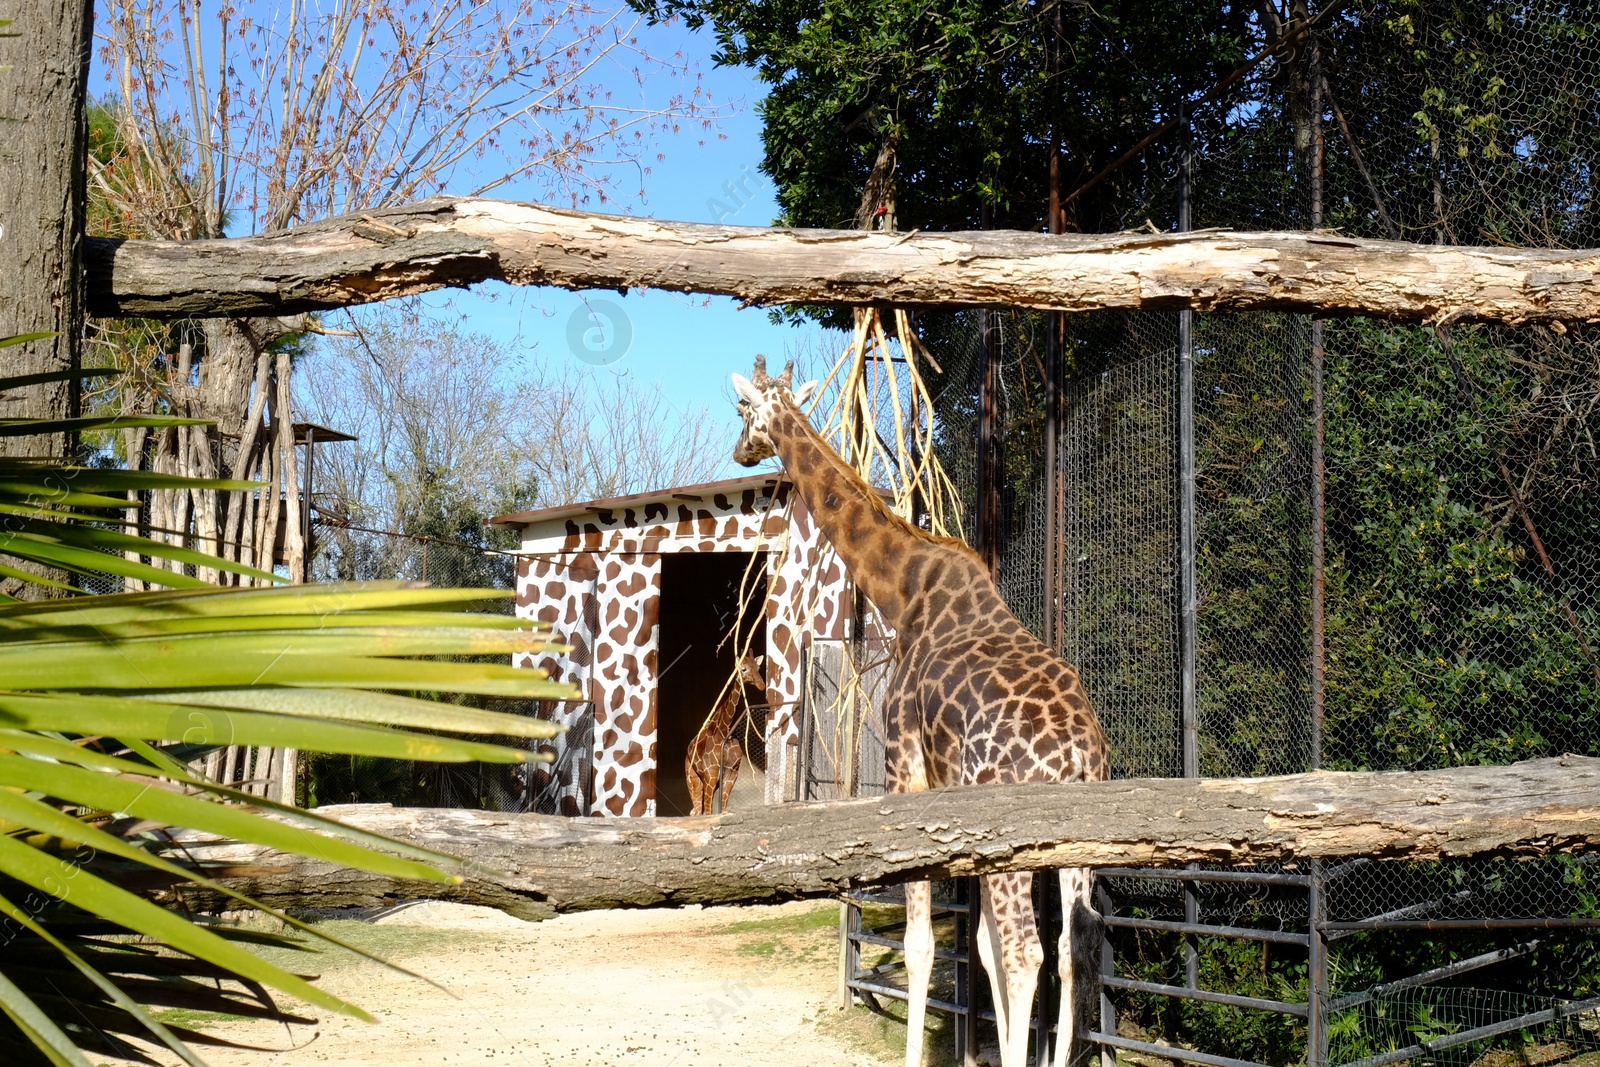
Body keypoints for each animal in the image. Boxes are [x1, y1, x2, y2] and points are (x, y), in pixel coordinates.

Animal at [684, 652, 764, 819]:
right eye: (743, 668)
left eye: (758, 668)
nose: (761, 685)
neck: (725, 730)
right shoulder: (710, 776)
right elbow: (708, 812)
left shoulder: (731, 774)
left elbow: (723, 809)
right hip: (693, 778)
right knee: (696, 811)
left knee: (696, 810)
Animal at [729, 358, 1113, 1067]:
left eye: (742, 409)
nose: (741, 450)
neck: (901, 588)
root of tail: (1078, 754)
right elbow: (978, 950)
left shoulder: (906, 770)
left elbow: (922, 947)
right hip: (1078, 839)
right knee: (1073, 946)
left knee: (1027, 952)